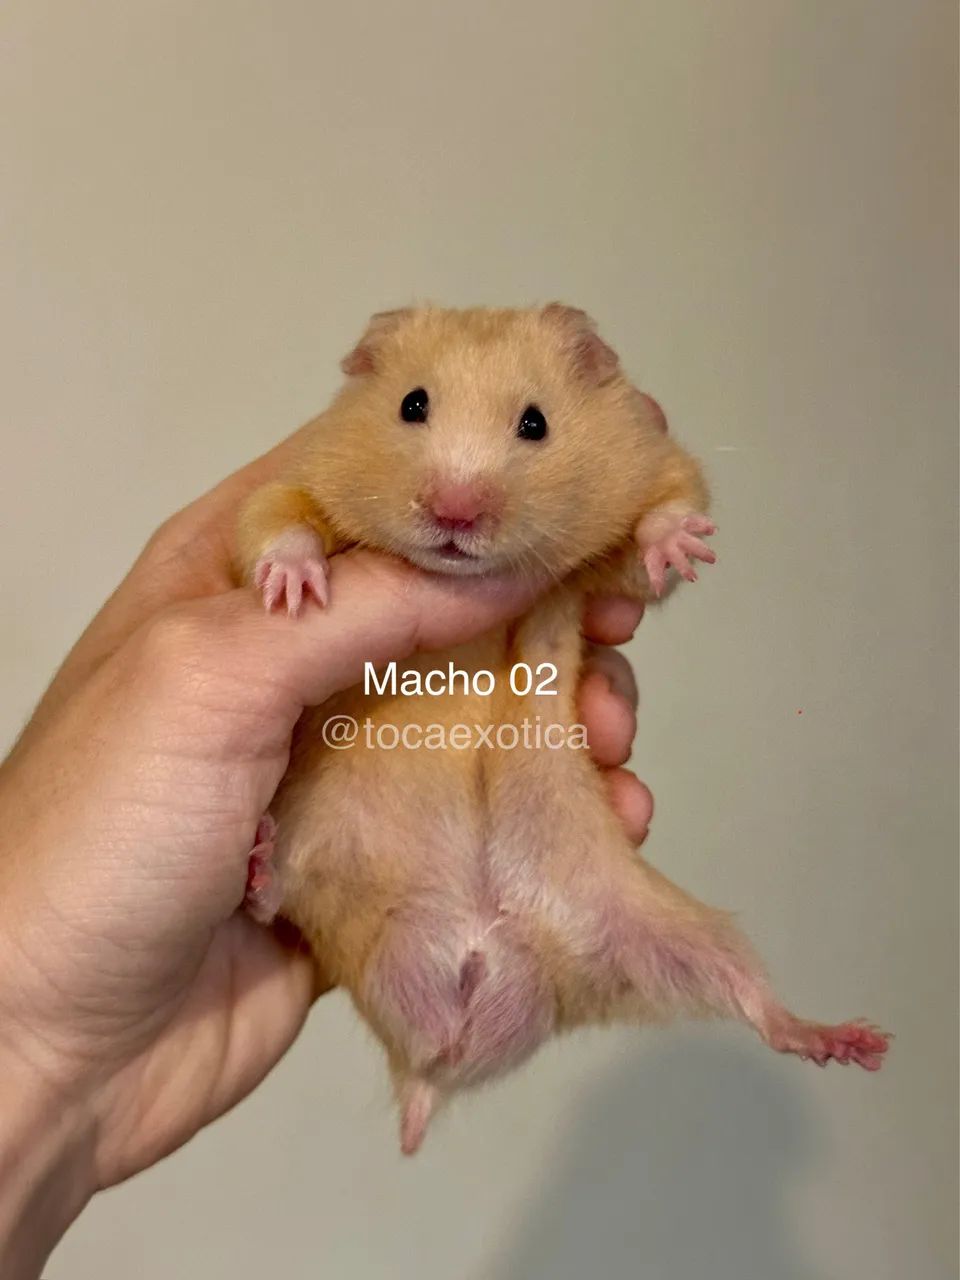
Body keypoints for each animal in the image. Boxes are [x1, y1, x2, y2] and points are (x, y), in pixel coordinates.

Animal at [236, 304, 889, 1154]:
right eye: (411, 405)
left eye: (536, 423)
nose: (456, 513)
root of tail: (438, 1054)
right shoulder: (296, 476)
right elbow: (276, 520)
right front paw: (294, 592)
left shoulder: (635, 505)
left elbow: (661, 529)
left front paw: (681, 545)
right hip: (323, 844)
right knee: (278, 897)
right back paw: (256, 863)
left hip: (667, 931)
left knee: (756, 1001)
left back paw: (852, 1042)